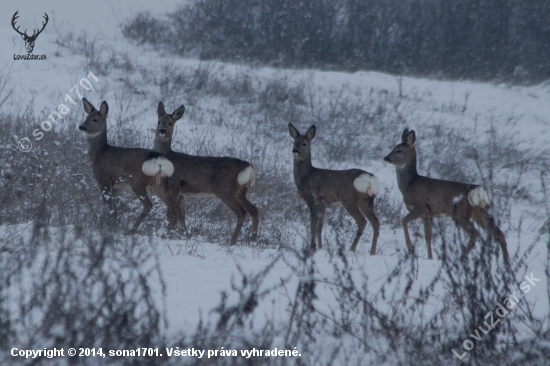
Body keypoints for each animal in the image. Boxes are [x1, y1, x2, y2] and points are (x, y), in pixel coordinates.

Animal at [78, 98, 175, 233]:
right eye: (86, 117)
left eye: (95, 119)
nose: (81, 126)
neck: (99, 153)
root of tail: (160, 160)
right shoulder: (117, 188)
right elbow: (115, 209)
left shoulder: (104, 179)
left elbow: (111, 209)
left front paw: (110, 228)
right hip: (160, 183)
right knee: (174, 206)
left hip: (138, 181)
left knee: (149, 204)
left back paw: (132, 230)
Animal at [152, 101, 260, 244]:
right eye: (159, 121)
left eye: (170, 123)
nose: (162, 131)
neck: (168, 157)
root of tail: (250, 168)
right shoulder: (182, 192)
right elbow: (181, 215)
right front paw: (186, 234)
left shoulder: (174, 184)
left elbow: (172, 212)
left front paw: (169, 233)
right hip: (241, 192)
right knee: (254, 209)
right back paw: (253, 239)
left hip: (225, 190)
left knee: (242, 212)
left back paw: (232, 242)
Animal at [286, 124, 382, 253]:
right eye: (294, 142)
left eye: (304, 144)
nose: (295, 150)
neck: (306, 177)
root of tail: (369, 179)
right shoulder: (322, 205)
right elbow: (320, 228)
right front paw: (320, 248)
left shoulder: (312, 200)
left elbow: (313, 227)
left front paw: (312, 248)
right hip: (367, 201)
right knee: (375, 222)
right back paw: (372, 252)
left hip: (349, 199)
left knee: (362, 221)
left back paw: (351, 249)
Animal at [386, 129, 512, 260]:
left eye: (399, 150)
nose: (386, 158)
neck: (410, 185)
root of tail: (479, 192)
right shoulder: (427, 216)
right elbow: (428, 237)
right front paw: (430, 258)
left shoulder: (421, 207)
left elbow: (403, 221)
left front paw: (411, 248)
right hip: (479, 212)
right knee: (498, 232)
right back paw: (506, 260)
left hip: (460, 213)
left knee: (475, 234)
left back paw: (462, 257)